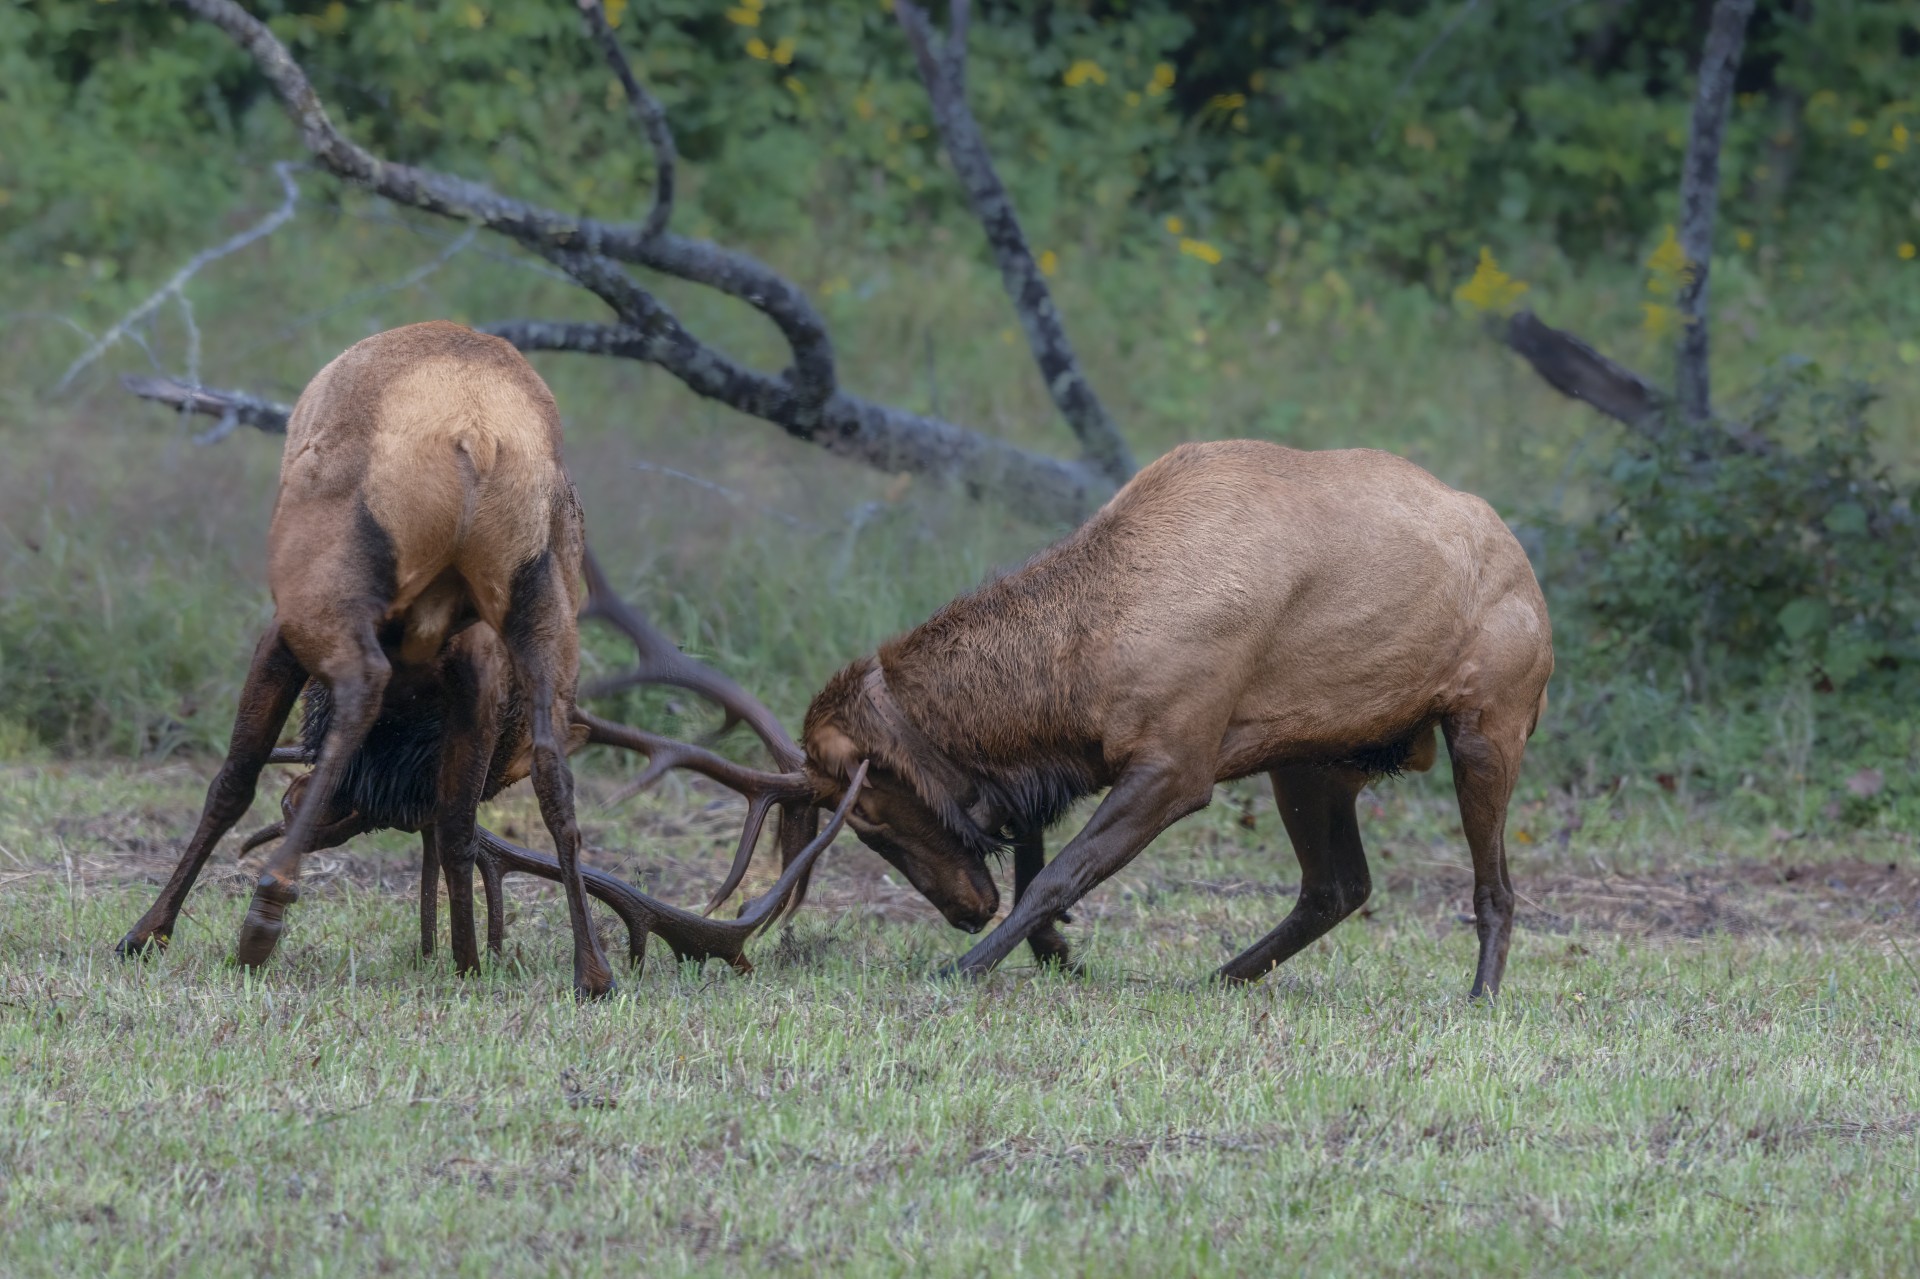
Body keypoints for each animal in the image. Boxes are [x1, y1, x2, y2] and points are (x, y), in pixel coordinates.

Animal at [113, 321, 842, 996]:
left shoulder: (284, 631)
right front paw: (468, 955)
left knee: (358, 689)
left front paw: (148, 933)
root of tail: (479, 435)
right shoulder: (473, 669)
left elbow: (233, 779)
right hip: (539, 599)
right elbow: (460, 817)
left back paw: (264, 913)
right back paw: (587, 969)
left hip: (326, 584)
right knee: (549, 768)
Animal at [628, 440, 1554, 996]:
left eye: (872, 822)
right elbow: (1036, 850)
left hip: (1490, 719)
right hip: (1313, 755)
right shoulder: (1076, 764)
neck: (1082, 668)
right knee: (1337, 885)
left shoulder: (1178, 761)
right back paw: (1217, 977)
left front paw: (968, 964)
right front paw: (1052, 950)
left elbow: (1059, 872)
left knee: (1495, 887)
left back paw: (1480, 994)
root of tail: (1524, 559)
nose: (963, 908)